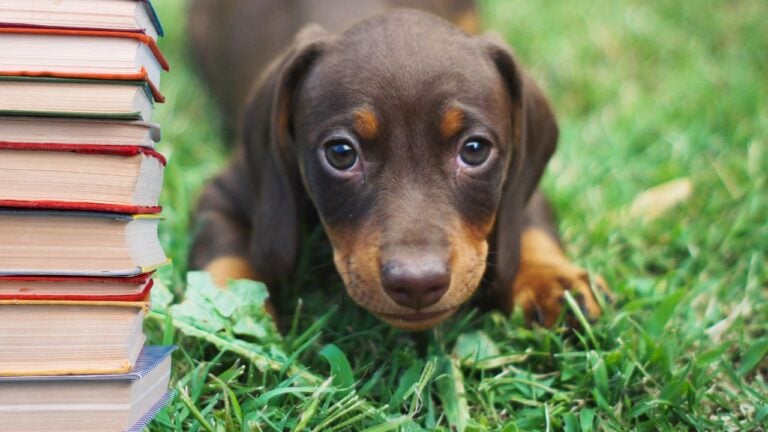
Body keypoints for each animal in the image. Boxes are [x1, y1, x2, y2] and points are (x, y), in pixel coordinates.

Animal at [188, 0, 608, 330]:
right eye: (341, 153)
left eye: (474, 150)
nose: (417, 284)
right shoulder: (226, 193)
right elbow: (223, 259)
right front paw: (223, 313)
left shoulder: (519, 181)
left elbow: (529, 226)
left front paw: (552, 281)